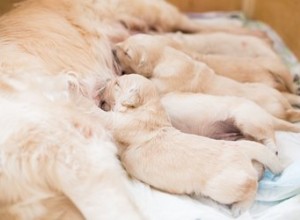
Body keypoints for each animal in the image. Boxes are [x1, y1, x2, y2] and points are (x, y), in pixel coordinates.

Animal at [97, 73, 282, 217]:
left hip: (224, 185)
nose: (102, 85)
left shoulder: (120, 123)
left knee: (252, 185)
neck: (149, 108)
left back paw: (240, 207)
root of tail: (242, 148)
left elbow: (101, 115)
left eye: (117, 84)